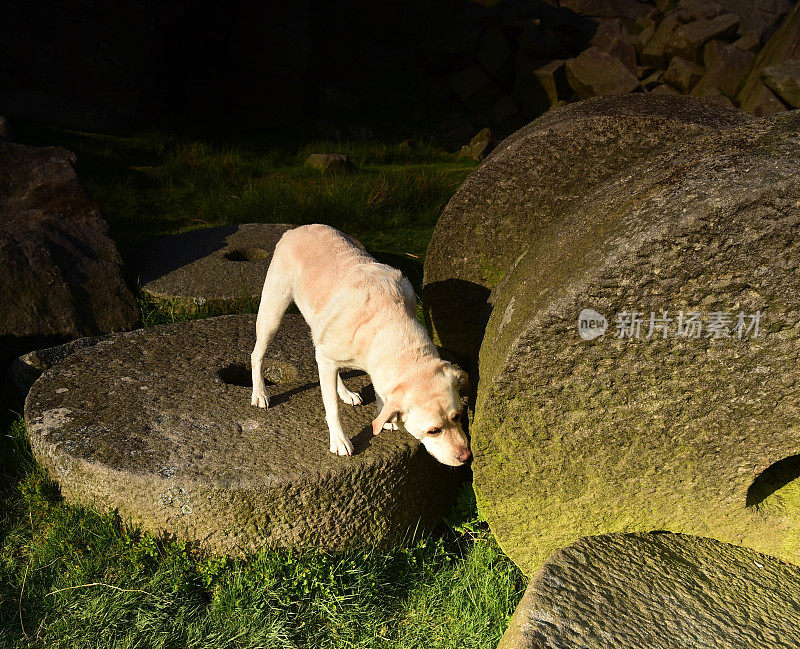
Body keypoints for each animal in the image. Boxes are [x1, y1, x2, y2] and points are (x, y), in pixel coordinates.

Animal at [250, 224, 472, 466]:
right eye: (433, 431)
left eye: (458, 416)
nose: (467, 457)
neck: (388, 319)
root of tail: (297, 228)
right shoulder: (329, 356)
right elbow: (332, 408)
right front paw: (339, 440)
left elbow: (376, 388)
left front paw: (385, 414)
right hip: (272, 313)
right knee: (257, 354)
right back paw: (260, 393)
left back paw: (345, 392)